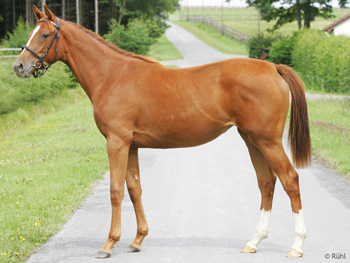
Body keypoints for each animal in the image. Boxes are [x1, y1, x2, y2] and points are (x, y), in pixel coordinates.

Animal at [13, 5, 312, 260]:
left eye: (44, 34)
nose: (19, 66)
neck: (112, 75)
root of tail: (274, 67)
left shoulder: (117, 142)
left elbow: (115, 190)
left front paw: (109, 244)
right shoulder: (131, 145)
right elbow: (134, 188)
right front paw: (137, 240)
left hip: (268, 141)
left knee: (290, 179)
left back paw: (296, 246)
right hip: (251, 139)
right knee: (267, 183)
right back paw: (254, 242)